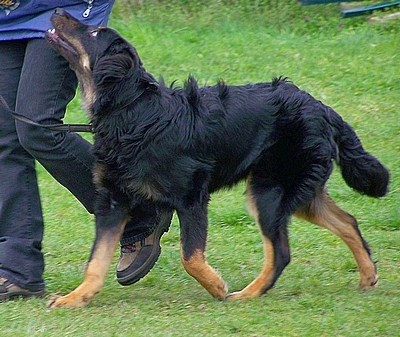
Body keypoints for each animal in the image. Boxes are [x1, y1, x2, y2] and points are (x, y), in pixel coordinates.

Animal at [45, 8, 390, 308]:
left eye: (94, 31)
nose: (57, 11)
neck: (132, 111)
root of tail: (321, 108)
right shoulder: (112, 202)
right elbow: (96, 260)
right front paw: (76, 298)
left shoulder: (192, 198)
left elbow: (190, 256)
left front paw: (217, 287)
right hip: (297, 192)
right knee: (348, 222)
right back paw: (368, 276)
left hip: (270, 191)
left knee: (281, 253)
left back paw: (248, 293)